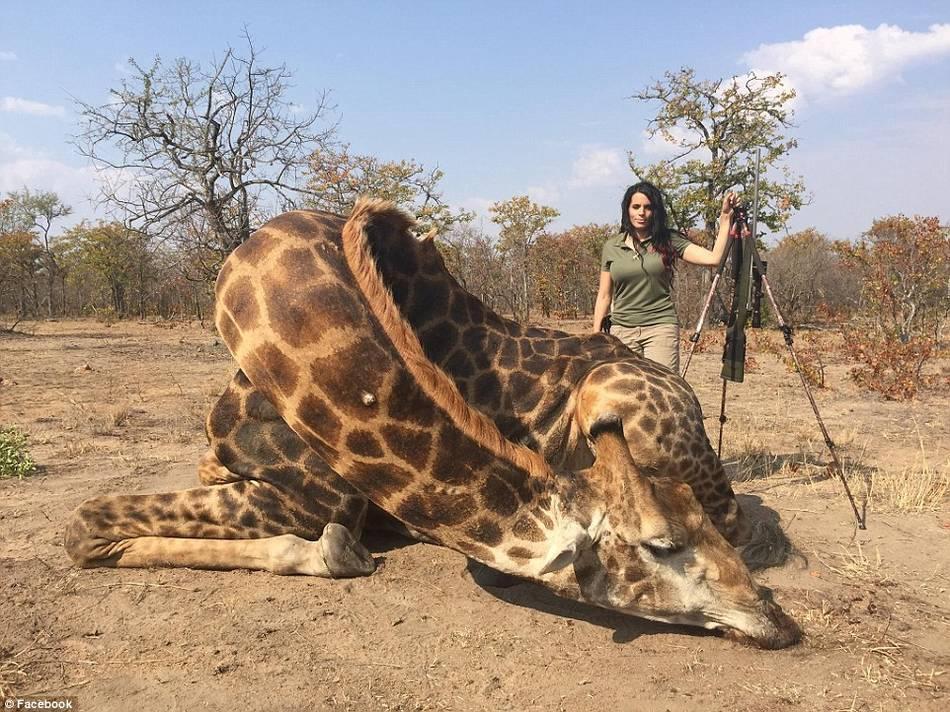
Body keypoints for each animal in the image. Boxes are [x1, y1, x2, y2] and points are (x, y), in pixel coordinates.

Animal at [63, 200, 800, 652]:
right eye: (662, 544)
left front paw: (335, 552)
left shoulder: (318, 497)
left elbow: (84, 525)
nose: (776, 618)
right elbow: (84, 525)